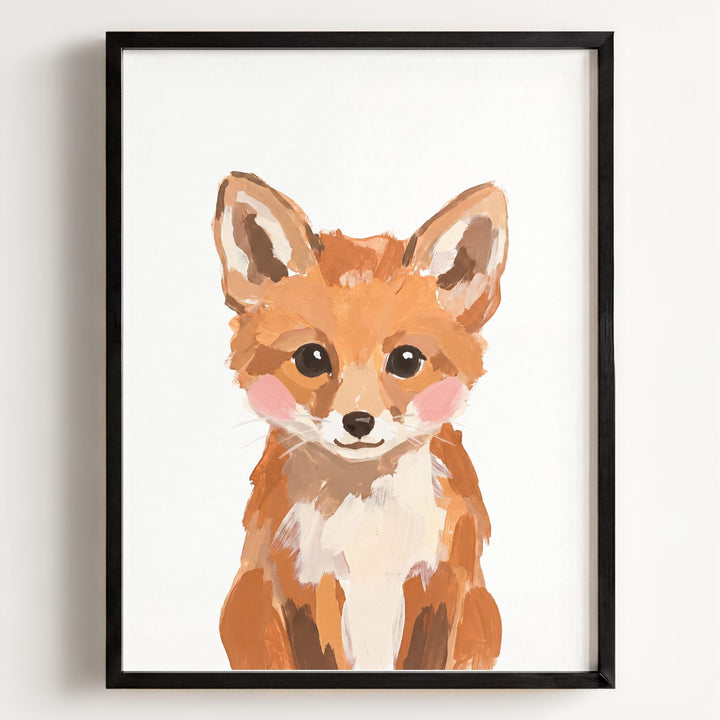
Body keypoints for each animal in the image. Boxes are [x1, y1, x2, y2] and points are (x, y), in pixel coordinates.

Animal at [212, 172, 508, 671]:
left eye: (406, 360)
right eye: (311, 359)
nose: (358, 421)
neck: (367, 528)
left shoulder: (439, 589)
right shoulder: (309, 589)